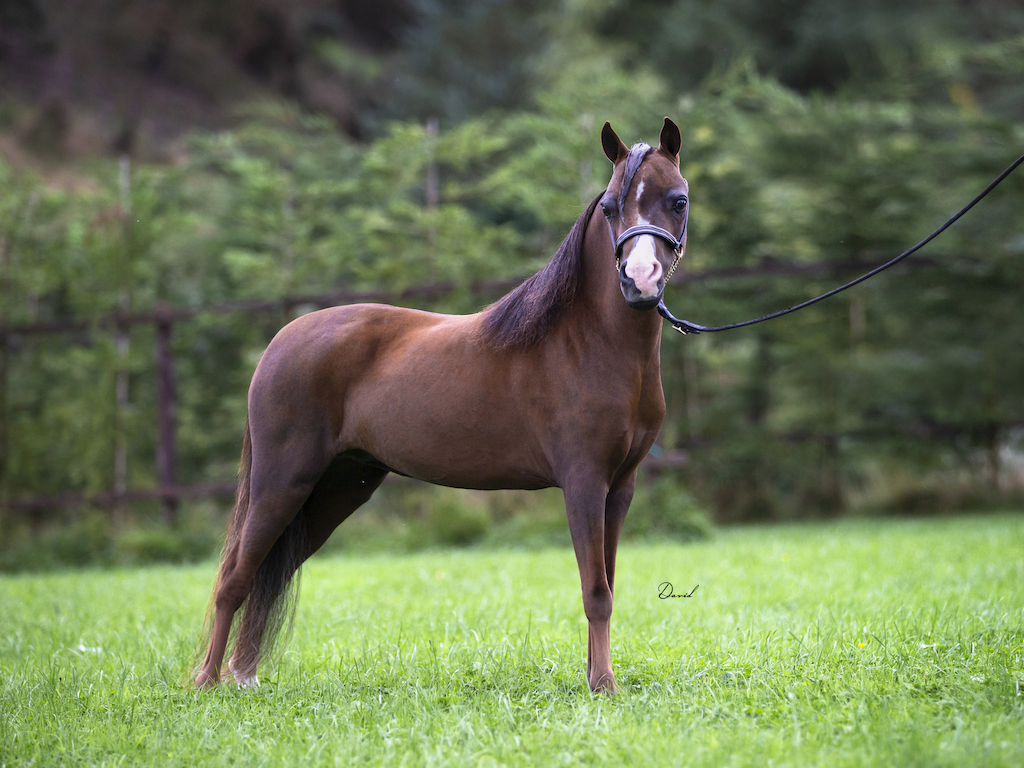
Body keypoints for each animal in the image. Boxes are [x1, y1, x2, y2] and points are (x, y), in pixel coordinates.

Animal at [194, 118, 690, 694]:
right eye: (610, 207)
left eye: (677, 200)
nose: (640, 279)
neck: (589, 341)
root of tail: (281, 340)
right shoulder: (584, 483)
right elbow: (596, 592)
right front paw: (604, 685)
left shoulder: (619, 489)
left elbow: (605, 586)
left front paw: (598, 679)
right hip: (282, 483)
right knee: (235, 578)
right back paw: (207, 681)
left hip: (336, 489)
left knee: (270, 572)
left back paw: (242, 675)